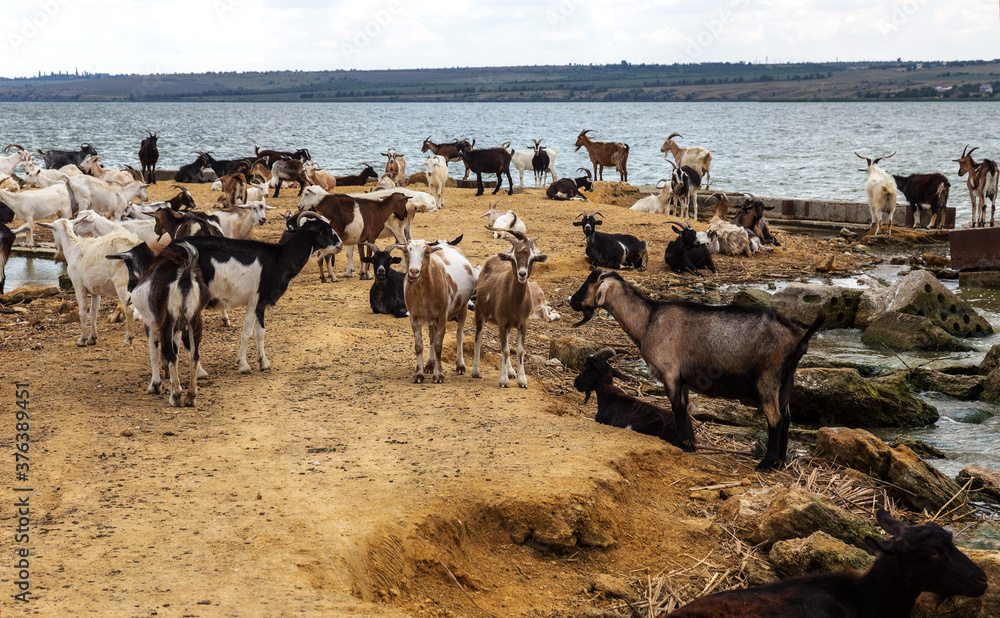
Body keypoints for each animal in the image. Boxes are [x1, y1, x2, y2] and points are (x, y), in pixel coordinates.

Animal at [176, 215, 341, 373]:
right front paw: (243, 365)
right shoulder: (255, 301)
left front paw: (263, 363)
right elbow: (247, 332)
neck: (279, 259)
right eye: (326, 230)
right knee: (188, 335)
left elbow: (260, 332)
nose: (340, 245)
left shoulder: (261, 304)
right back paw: (199, 372)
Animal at [388, 239, 476, 384]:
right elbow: (419, 346)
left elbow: (438, 346)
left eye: (427, 252)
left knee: (459, 335)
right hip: (431, 318)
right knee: (432, 337)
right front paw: (419, 374)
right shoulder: (414, 317)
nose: (413, 272)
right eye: (406, 251)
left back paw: (460, 366)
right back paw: (430, 364)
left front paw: (439, 375)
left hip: (462, 308)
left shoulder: (442, 317)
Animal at [471, 229, 547, 388]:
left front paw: (522, 380)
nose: (522, 274)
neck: (516, 303)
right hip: (480, 313)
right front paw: (503, 380)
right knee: (478, 339)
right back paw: (475, 370)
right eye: (513, 258)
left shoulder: (522, 323)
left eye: (532, 258)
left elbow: (519, 350)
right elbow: (505, 350)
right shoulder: (503, 322)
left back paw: (511, 371)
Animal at [570, 270, 824, 469]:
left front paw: (681, 444)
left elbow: (677, 409)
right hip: (786, 379)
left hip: (768, 378)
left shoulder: (670, 374)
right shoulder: (682, 379)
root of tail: (798, 337)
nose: (572, 301)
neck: (648, 320)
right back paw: (780, 462)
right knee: (787, 417)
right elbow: (684, 409)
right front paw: (688, 444)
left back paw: (766, 464)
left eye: (590, 282)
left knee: (776, 419)